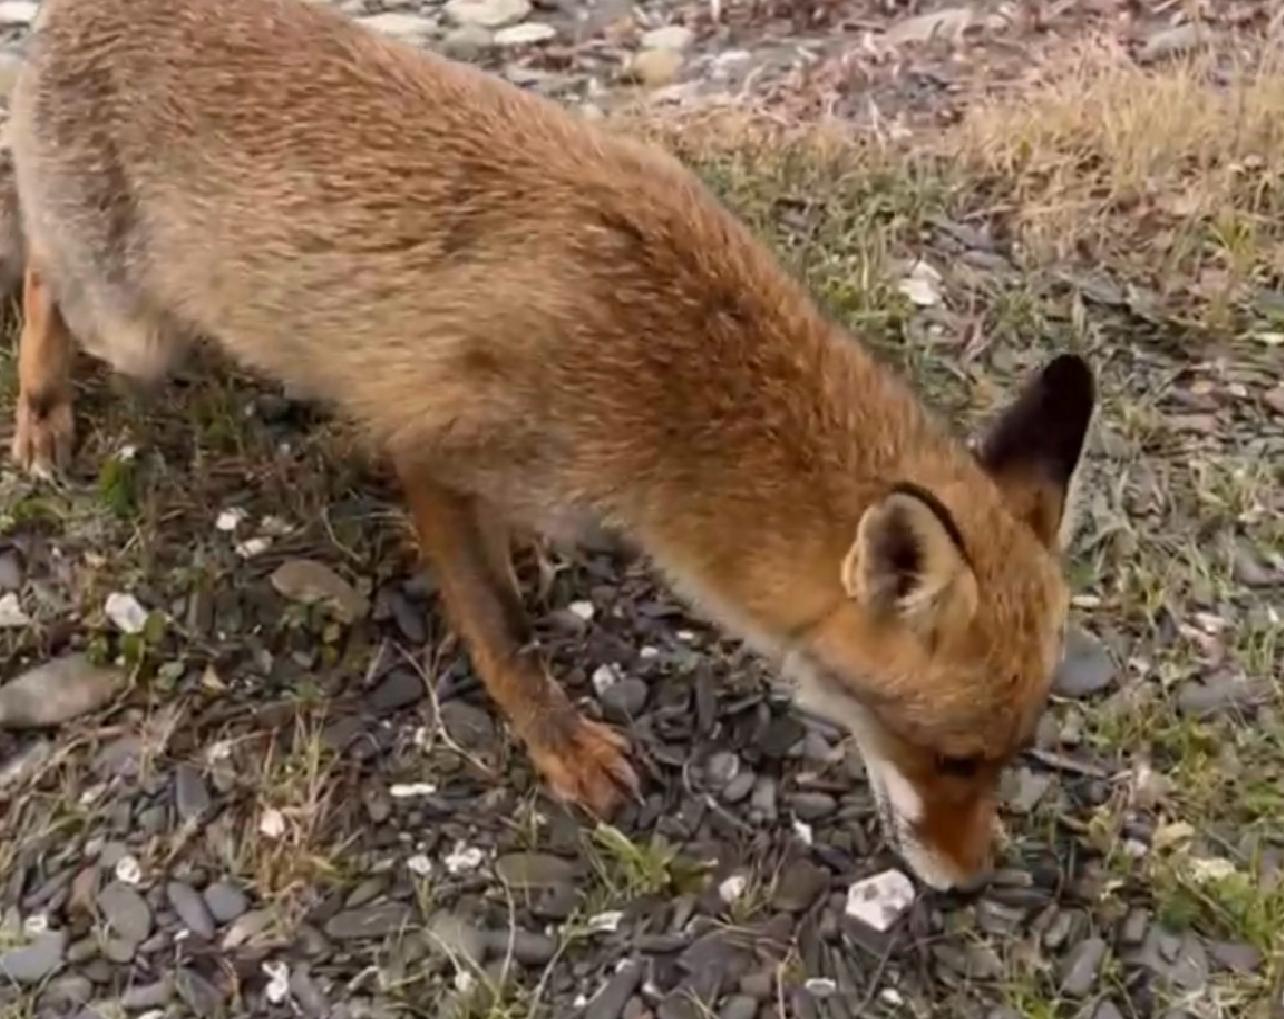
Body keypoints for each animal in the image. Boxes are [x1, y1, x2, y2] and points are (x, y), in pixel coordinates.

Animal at [0, 0, 1093, 888]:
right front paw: (558, 740)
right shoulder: (429, 443)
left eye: (1007, 756)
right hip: (132, 328)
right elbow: (503, 632)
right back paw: (40, 408)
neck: (679, 389)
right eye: (954, 758)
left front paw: (525, 553)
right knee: (43, 274)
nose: (972, 883)